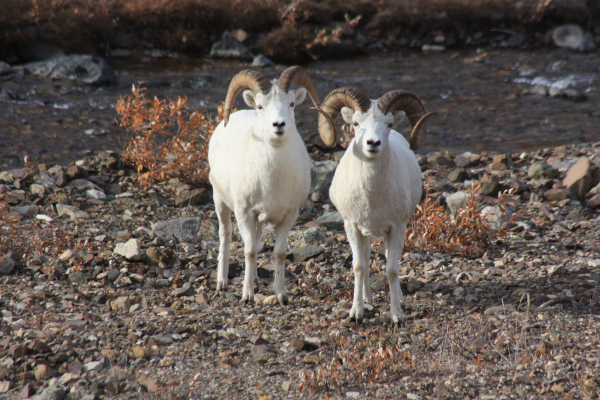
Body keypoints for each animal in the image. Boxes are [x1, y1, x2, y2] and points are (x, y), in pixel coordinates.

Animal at [208, 67, 320, 305]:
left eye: (291, 104)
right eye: (260, 106)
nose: (278, 125)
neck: (272, 179)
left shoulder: (289, 216)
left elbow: (279, 253)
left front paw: (281, 295)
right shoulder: (243, 212)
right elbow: (249, 251)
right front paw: (247, 296)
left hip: (258, 219)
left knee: (257, 238)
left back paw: (256, 279)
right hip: (220, 201)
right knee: (225, 235)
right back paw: (222, 282)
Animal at [312, 88, 435, 325]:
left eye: (389, 124)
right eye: (356, 123)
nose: (372, 143)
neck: (372, 197)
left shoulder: (396, 228)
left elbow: (392, 270)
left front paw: (397, 316)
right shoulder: (352, 226)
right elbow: (359, 267)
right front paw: (356, 313)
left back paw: (399, 300)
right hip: (364, 233)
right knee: (367, 259)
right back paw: (367, 299)